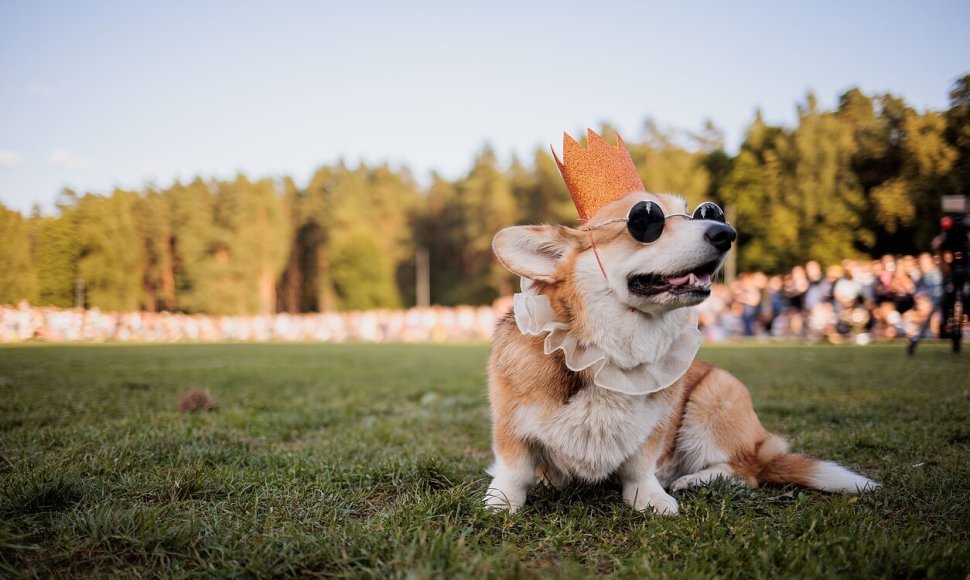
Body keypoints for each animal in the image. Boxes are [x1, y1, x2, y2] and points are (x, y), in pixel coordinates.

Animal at [484, 193, 876, 516]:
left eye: (705, 213)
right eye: (645, 220)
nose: (725, 232)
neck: (608, 353)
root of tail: (762, 443)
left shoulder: (653, 429)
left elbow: (640, 468)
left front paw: (651, 498)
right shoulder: (511, 427)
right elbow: (515, 470)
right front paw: (501, 501)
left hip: (716, 395)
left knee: (747, 470)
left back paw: (693, 480)